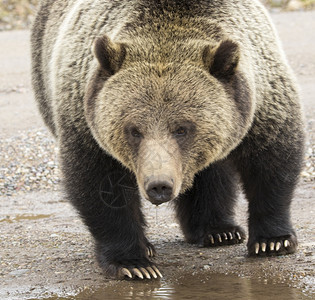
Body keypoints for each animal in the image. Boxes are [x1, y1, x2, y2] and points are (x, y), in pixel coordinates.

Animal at [30, 0, 304, 280]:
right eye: (134, 130)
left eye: (182, 129)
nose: (159, 185)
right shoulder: (86, 118)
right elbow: (100, 186)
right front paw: (133, 263)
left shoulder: (261, 98)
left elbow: (271, 162)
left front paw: (273, 241)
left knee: (212, 173)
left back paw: (219, 231)